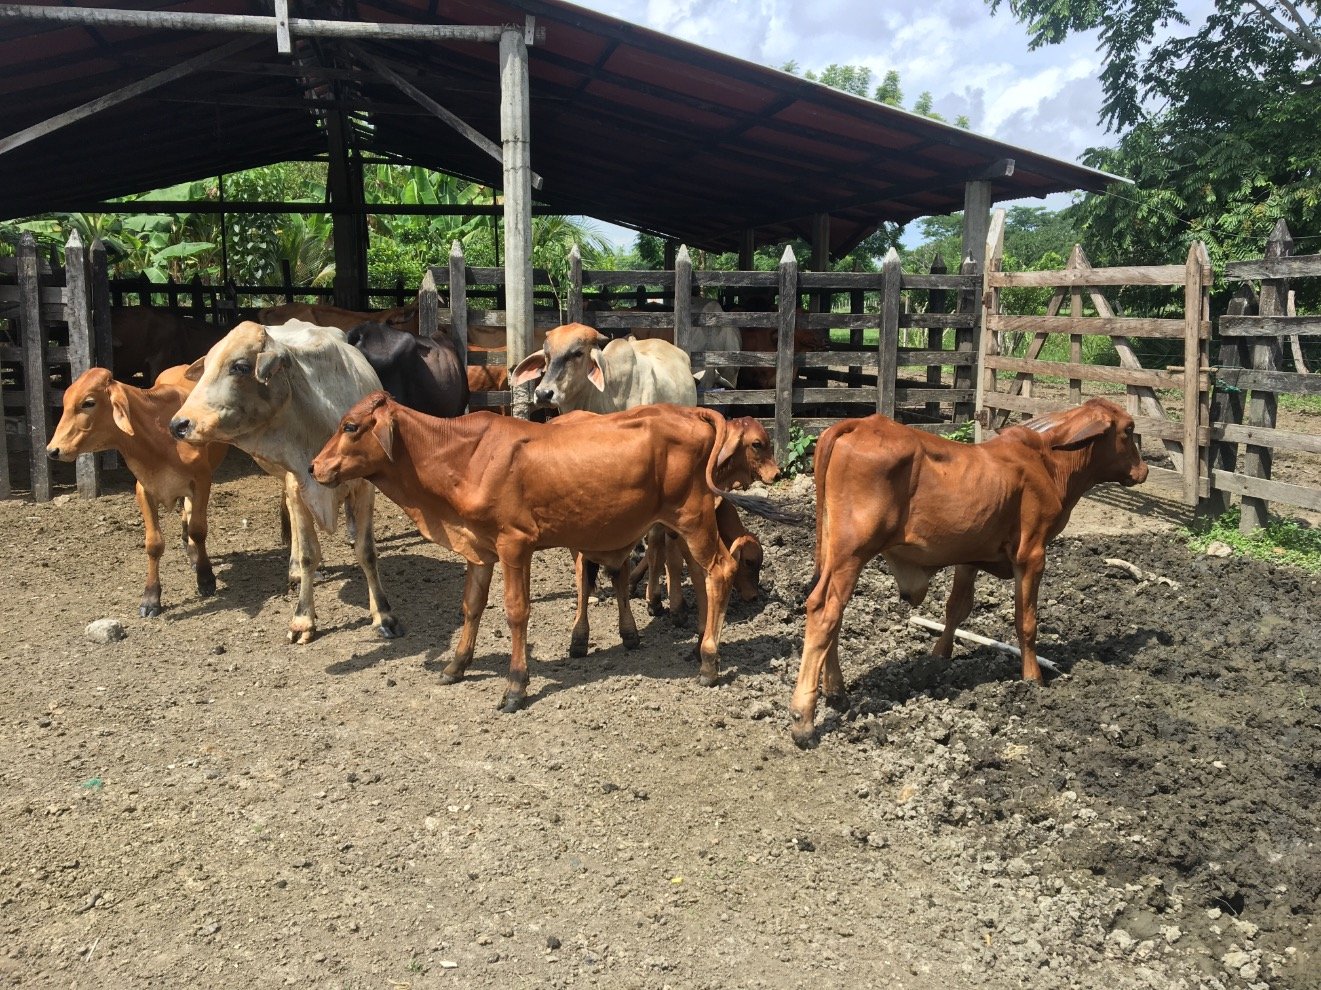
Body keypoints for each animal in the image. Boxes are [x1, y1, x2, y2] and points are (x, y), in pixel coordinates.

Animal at [45, 367, 227, 613]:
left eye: (88, 403)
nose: (53, 450)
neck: (159, 441)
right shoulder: (144, 489)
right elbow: (154, 544)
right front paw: (151, 597)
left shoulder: (202, 481)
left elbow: (198, 530)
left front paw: (205, 578)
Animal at [170, 321, 398, 645]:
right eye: (208, 365)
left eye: (240, 366)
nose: (179, 424)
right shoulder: (298, 483)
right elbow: (307, 554)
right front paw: (303, 619)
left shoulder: (365, 487)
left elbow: (366, 552)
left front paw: (383, 613)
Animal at [309, 393, 792, 708]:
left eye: (350, 426)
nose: (314, 466)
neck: (466, 456)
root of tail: (692, 412)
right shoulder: (479, 548)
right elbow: (471, 606)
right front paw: (456, 665)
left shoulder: (514, 543)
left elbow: (515, 611)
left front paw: (515, 686)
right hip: (688, 525)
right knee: (702, 575)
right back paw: (698, 647)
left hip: (692, 520)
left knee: (719, 571)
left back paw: (709, 662)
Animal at [787, 396, 1151, 745]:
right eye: (1129, 430)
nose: (1144, 470)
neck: (1048, 462)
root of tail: (859, 424)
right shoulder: (1032, 555)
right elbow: (1026, 622)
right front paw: (1033, 677)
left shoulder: (969, 556)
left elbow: (956, 609)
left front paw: (940, 656)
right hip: (852, 553)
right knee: (824, 611)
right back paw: (804, 719)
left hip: (835, 555)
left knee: (835, 614)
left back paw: (837, 691)